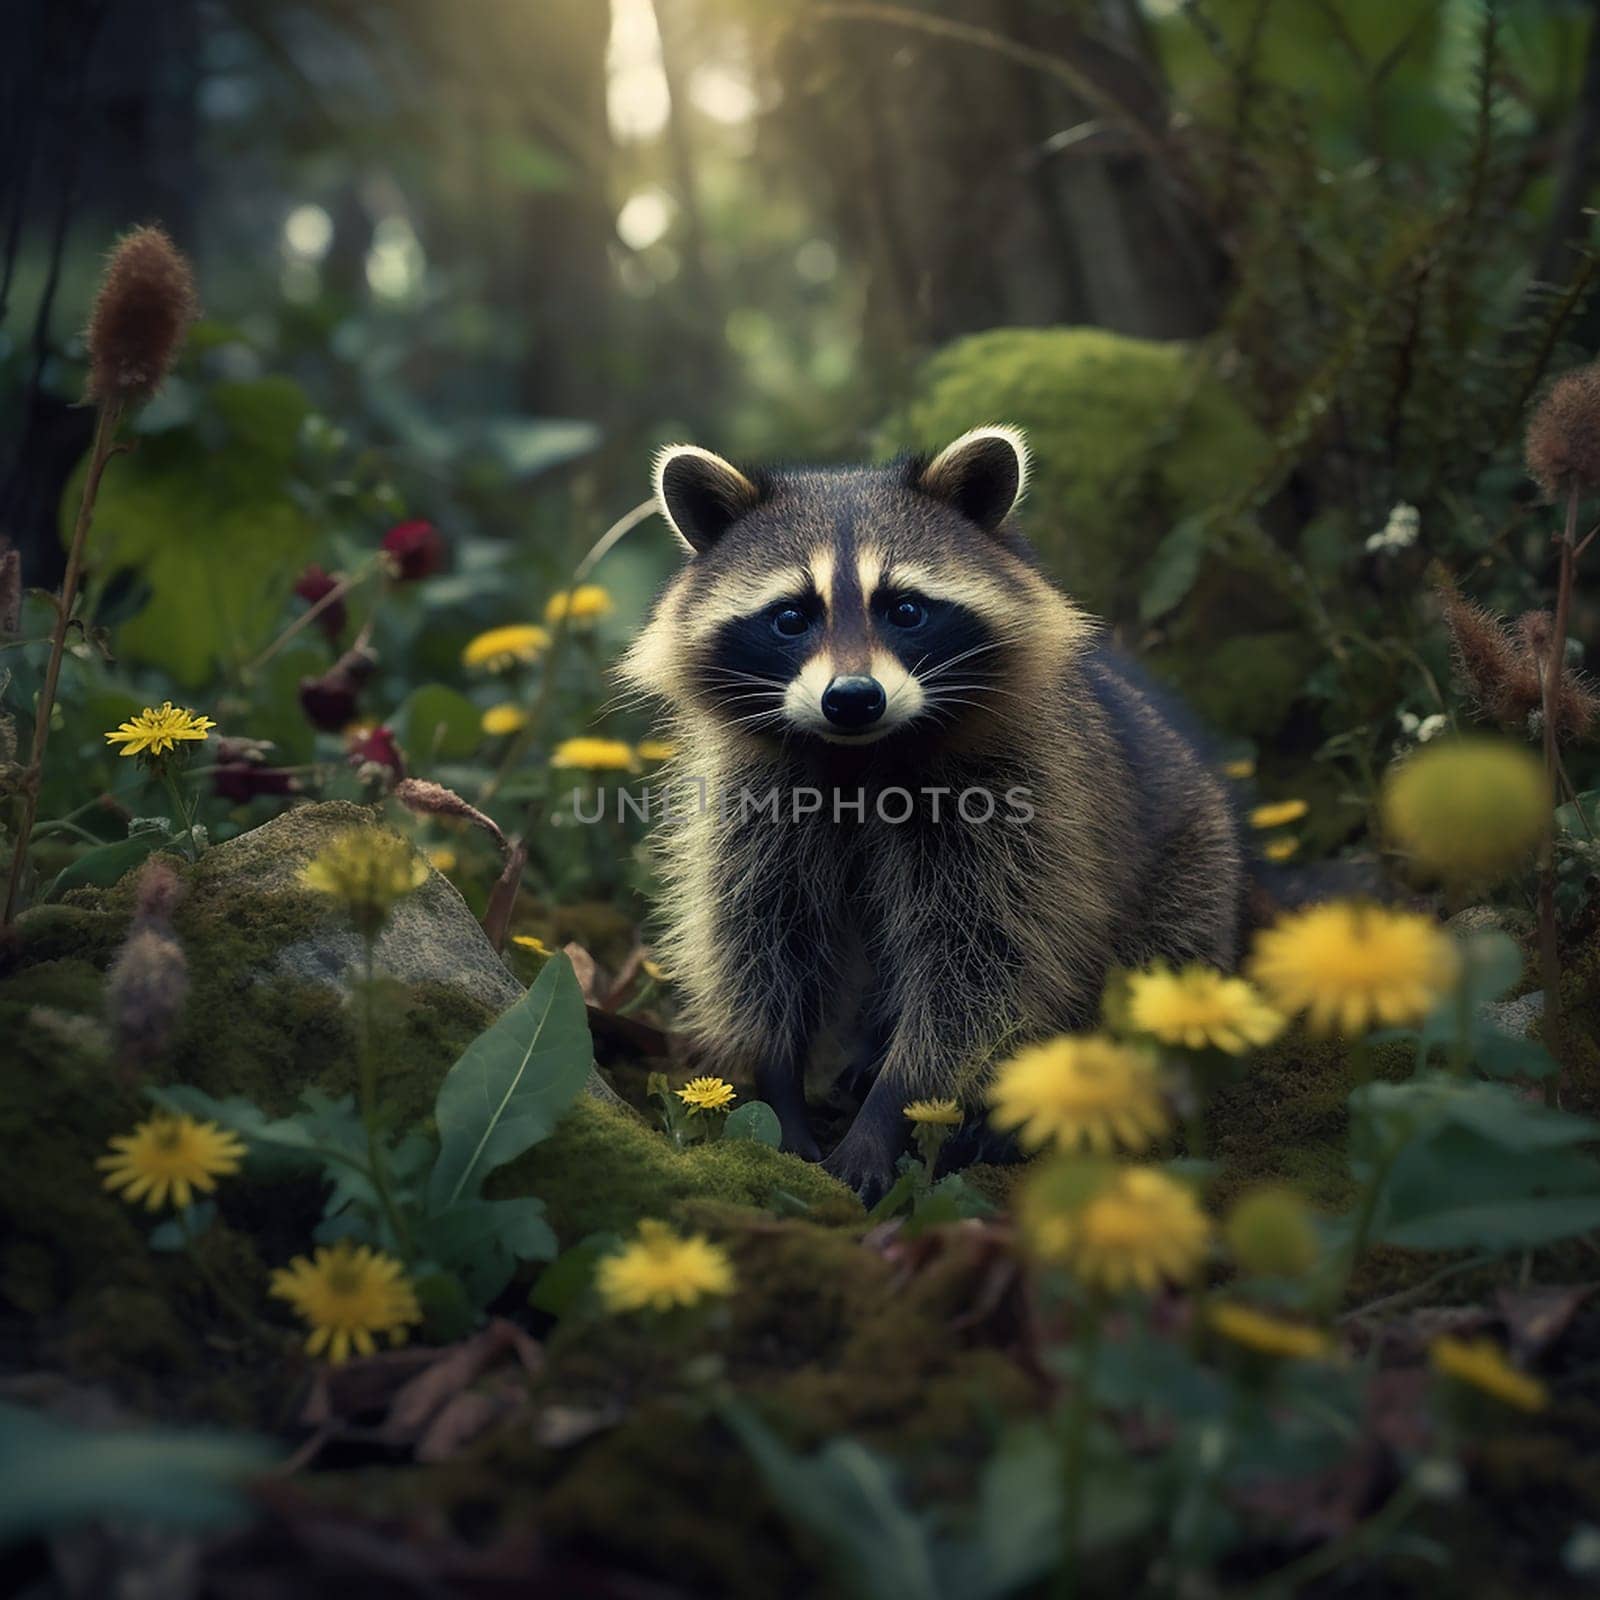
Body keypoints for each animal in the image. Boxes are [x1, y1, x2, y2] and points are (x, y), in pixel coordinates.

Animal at [617, 425, 1241, 1203]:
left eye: (905, 609)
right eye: (790, 617)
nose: (853, 698)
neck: (861, 756)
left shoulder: (1016, 802)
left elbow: (977, 966)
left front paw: (891, 1107)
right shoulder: (757, 803)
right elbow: (761, 937)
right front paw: (780, 1087)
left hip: (1191, 869)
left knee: (1153, 975)